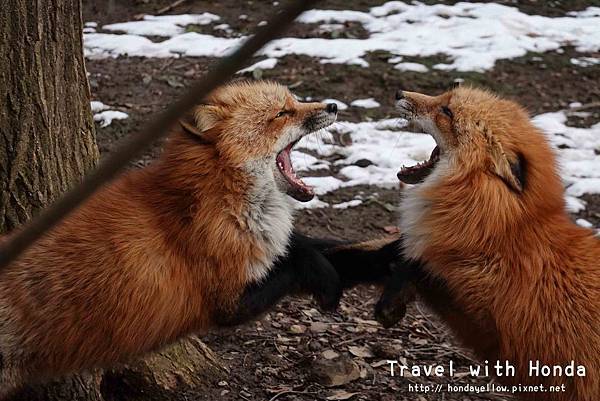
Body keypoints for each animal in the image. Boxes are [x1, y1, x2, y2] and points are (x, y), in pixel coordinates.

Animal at [0, 79, 342, 396]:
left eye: (294, 101)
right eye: (282, 113)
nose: (333, 105)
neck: (220, 196)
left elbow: (305, 246)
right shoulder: (227, 300)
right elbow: (297, 264)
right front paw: (325, 278)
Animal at [368, 86, 596, 398]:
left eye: (447, 111)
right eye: (444, 97)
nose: (398, 91)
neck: (499, 232)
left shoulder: (494, 330)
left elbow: (417, 264)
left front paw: (391, 302)